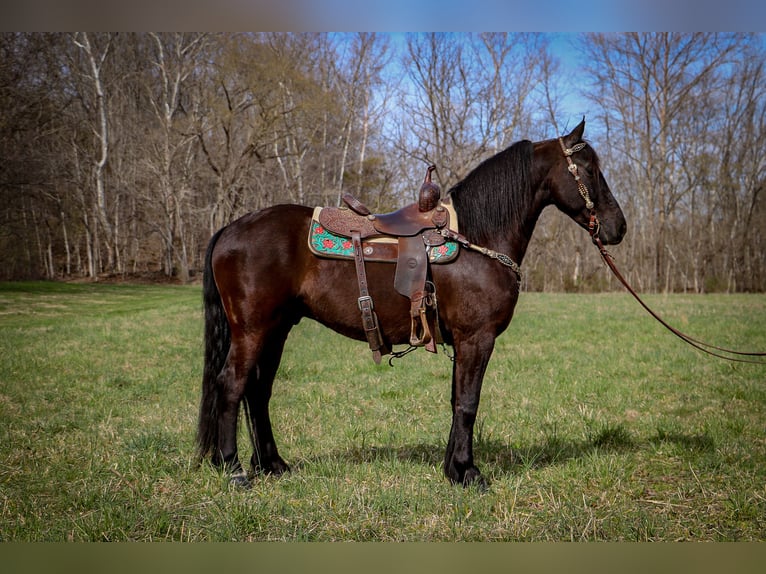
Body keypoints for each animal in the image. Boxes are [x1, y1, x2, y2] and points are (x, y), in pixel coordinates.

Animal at [195, 121, 628, 490]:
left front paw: (453, 469)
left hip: (277, 330)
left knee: (258, 392)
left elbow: (456, 400)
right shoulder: (477, 339)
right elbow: (468, 403)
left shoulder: (464, 344)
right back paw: (234, 469)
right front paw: (470, 473)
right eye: (589, 170)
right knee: (231, 386)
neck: (478, 237)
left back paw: (272, 464)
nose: (618, 227)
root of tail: (230, 229)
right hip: (252, 329)